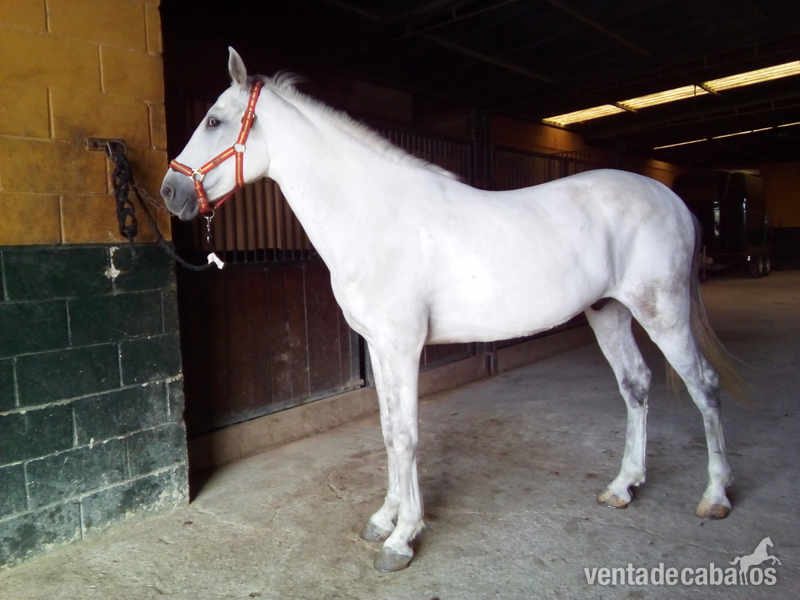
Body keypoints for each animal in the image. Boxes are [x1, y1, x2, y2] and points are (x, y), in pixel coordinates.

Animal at [161, 48, 744, 572]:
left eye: (214, 120)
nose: (169, 192)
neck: (376, 214)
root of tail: (673, 200)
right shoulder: (379, 347)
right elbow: (387, 431)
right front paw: (385, 518)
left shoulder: (402, 346)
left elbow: (406, 436)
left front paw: (403, 539)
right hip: (610, 312)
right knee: (636, 386)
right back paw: (623, 486)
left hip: (662, 312)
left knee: (704, 385)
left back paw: (716, 497)